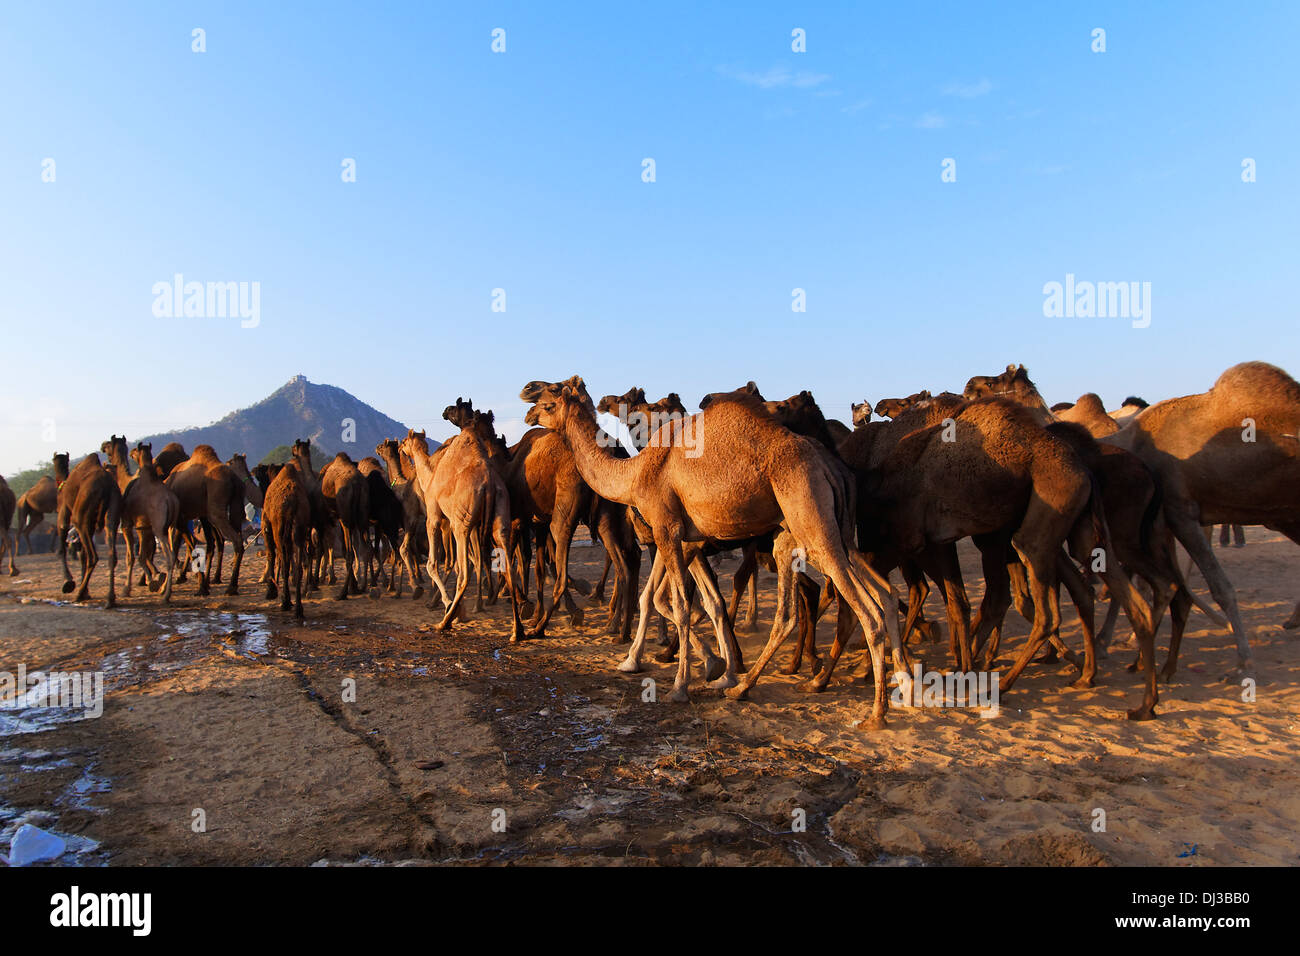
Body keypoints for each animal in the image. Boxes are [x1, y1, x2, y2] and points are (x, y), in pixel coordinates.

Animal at [522, 374, 899, 723]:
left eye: (551, 395)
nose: (527, 399)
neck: (635, 471)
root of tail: (831, 465)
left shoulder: (667, 529)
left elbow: (679, 605)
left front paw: (680, 684)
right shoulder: (683, 538)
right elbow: (681, 600)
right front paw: (703, 667)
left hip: (811, 520)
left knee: (867, 611)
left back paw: (873, 711)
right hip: (821, 532)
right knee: (876, 595)